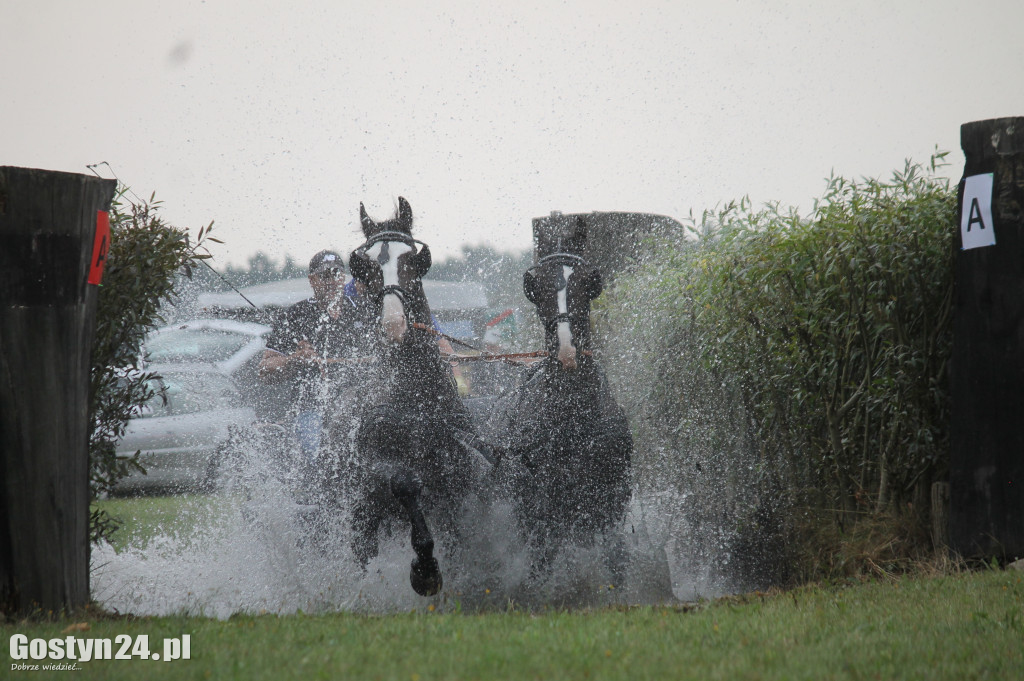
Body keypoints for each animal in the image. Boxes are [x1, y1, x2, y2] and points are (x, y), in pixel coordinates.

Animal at [337, 196, 489, 593]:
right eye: (365, 267)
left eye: (413, 261)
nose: (394, 325)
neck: (413, 396)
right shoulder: (378, 467)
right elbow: (404, 483)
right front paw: (425, 568)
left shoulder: (457, 476)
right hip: (363, 515)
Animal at [481, 220, 626, 581]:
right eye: (537, 286)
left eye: (588, 281)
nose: (566, 349)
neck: (572, 416)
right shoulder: (540, 511)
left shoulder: (611, 504)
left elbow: (616, 562)